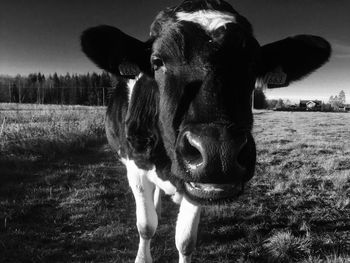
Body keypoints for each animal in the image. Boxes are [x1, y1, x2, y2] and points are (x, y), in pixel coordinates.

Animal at [80, 0, 330, 263]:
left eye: (252, 64)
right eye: (157, 61)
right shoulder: (135, 167)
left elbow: (185, 241)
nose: (219, 153)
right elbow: (146, 226)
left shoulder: (201, 184)